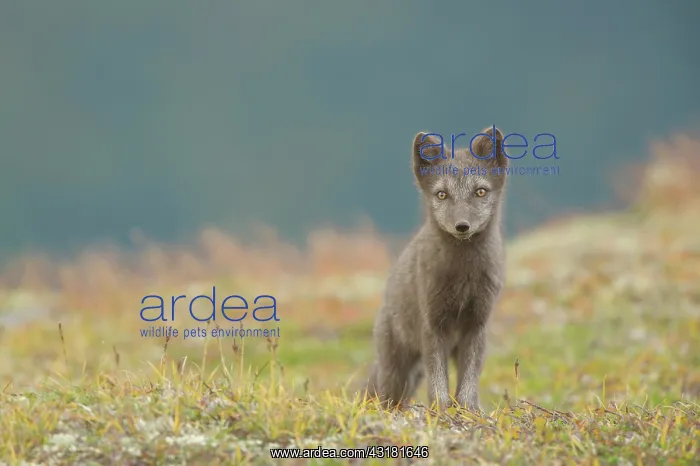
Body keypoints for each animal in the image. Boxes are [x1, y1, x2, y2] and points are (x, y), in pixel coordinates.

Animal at [365, 126, 509, 412]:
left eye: (480, 192)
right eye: (442, 195)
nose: (462, 226)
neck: (464, 275)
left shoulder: (477, 324)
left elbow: (469, 379)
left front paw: (468, 410)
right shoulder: (432, 324)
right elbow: (438, 378)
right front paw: (441, 408)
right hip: (397, 369)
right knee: (386, 394)